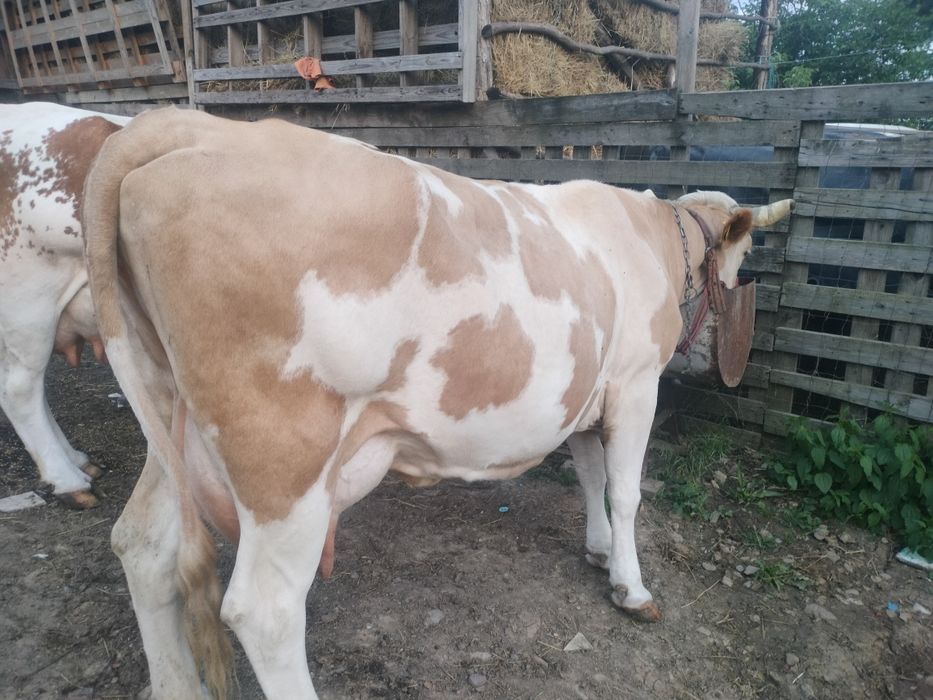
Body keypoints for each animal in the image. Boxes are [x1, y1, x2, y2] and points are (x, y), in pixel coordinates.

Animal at [82, 107, 793, 699]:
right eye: (743, 255)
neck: (647, 238)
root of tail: (189, 125)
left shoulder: (586, 392)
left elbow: (590, 476)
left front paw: (596, 550)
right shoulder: (635, 381)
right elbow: (624, 490)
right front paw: (632, 587)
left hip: (173, 421)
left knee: (143, 546)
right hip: (283, 457)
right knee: (265, 610)